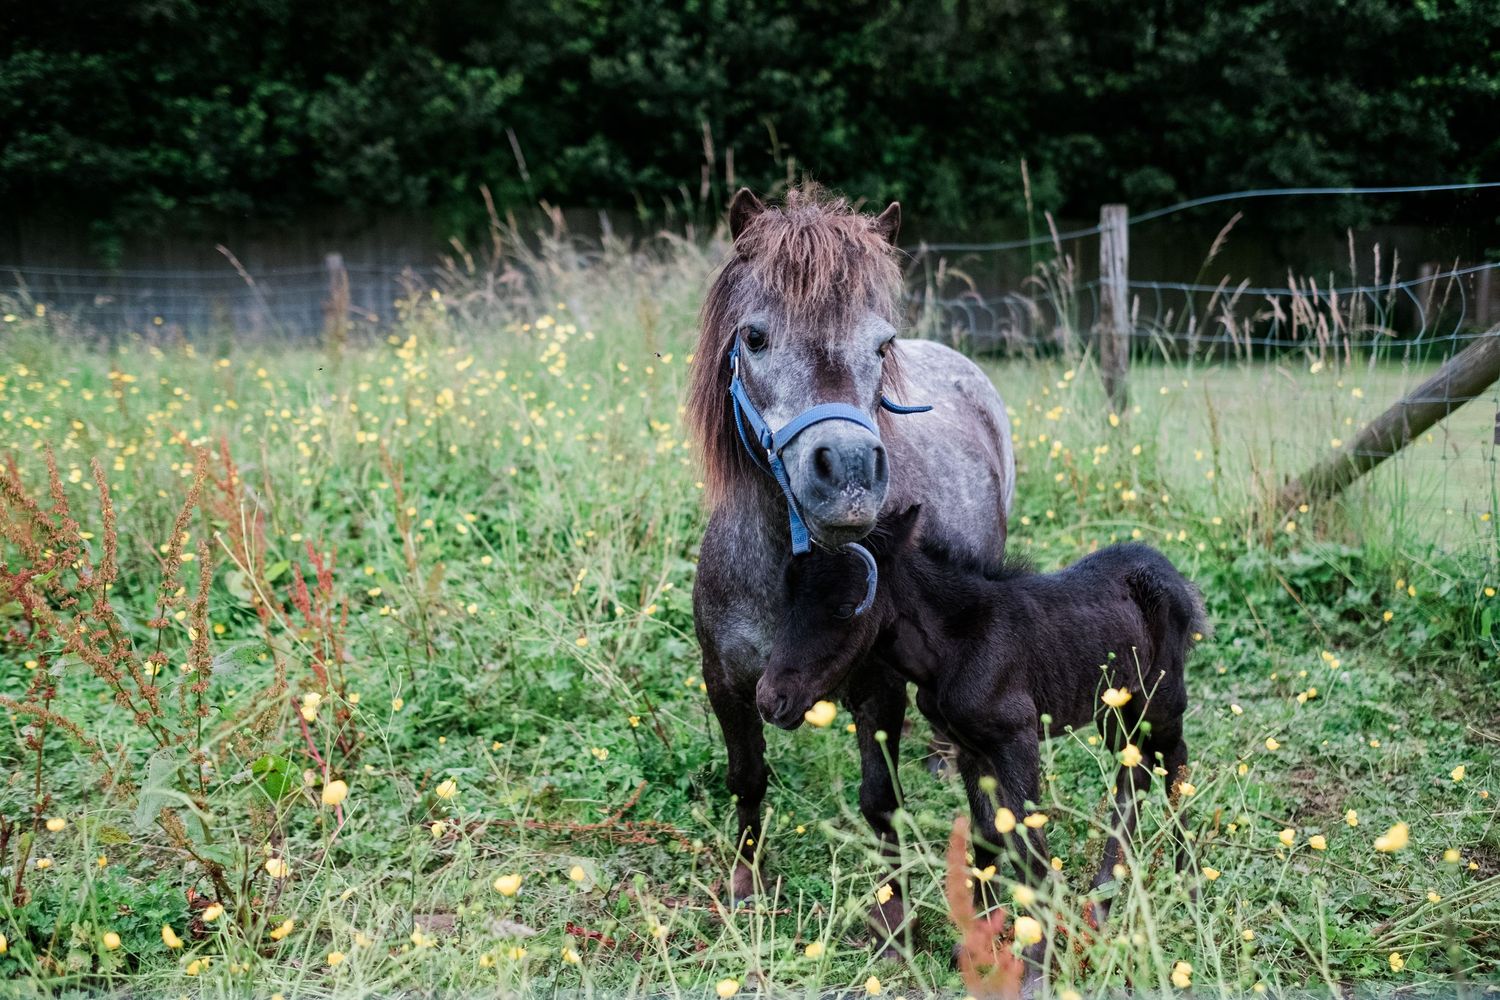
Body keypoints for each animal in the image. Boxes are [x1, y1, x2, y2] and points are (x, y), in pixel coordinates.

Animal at [687, 186, 1016, 939]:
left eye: (880, 344)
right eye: (754, 337)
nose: (850, 473)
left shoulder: (878, 692)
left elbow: (879, 800)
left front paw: (891, 917)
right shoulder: (724, 681)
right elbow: (746, 778)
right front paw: (745, 885)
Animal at [758, 505, 1204, 932]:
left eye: (845, 609)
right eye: (786, 601)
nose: (770, 700)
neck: (951, 649)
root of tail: (1175, 578)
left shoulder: (1017, 738)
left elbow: (1030, 843)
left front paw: (1036, 950)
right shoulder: (970, 747)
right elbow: (987, 831)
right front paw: (981, 934)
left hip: (1159, 700)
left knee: (1175, 762)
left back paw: (1188, 887)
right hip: (1114, 709)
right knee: (1135, 769)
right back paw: (1101, 902)